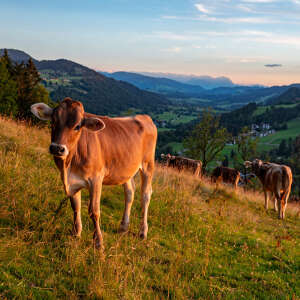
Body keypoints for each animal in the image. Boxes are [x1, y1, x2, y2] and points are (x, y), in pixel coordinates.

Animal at [30, 98, 157, 248]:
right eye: (53, 121)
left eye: (77, 126)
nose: (57, 148)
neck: (69, 164)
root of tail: (145, 117)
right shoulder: (72, 181)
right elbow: (76, 206)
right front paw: (76, 233)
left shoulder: (96, 179)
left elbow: (94, 211)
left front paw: (98, 242)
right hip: (126, 169)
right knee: (130, 192)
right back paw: (123, 227)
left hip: (148, 164)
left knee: (145, 195)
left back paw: (143, 232)